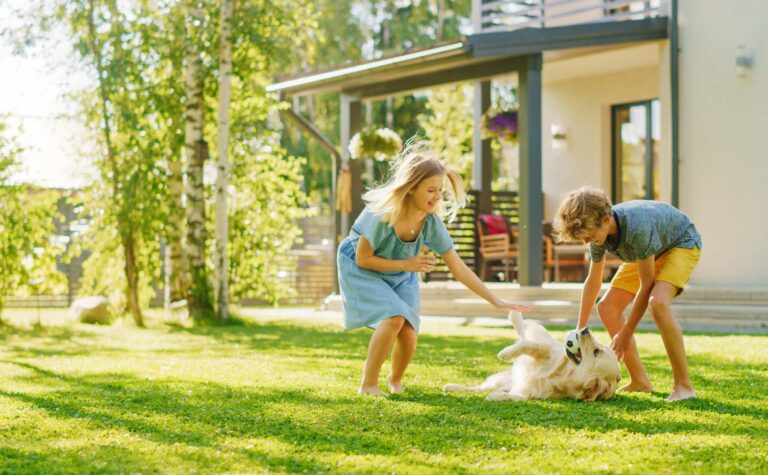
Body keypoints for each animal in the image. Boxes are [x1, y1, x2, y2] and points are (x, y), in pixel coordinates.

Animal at [448, 312, 620, 402]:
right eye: (601, 348)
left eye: (596, 352)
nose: (585, 329)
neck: (564, 373)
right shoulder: (548, 348)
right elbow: (529, 345)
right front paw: (506, 353)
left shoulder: (530, 391)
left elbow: (518, 397)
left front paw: (497, 397)